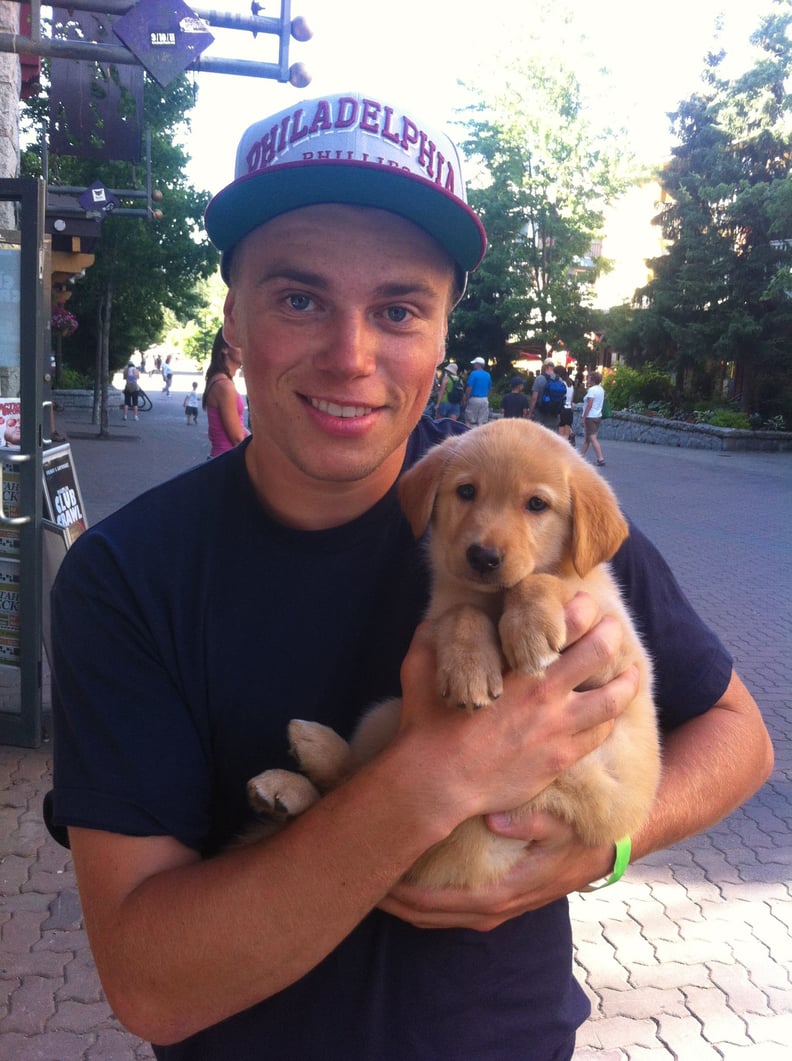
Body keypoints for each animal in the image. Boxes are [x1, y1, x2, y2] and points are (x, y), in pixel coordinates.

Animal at [248, 420, 658, 886]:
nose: (483, 556)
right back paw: (293, 775)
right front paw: (470, 669)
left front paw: (530, 627)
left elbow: (541, 581)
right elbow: (464, 612)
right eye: (466, 491)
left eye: (537, 504)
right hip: (387, 715)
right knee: (354, 787)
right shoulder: (443, 611)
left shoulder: (618, 654)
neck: (493, 599)